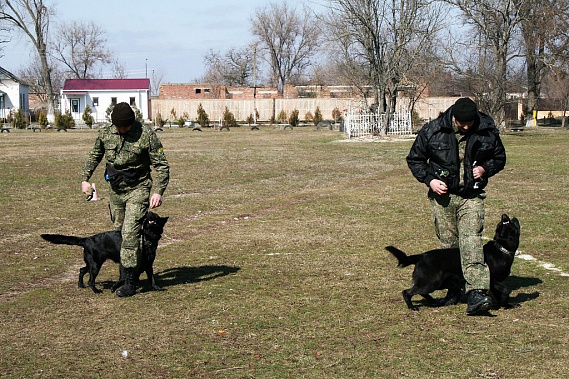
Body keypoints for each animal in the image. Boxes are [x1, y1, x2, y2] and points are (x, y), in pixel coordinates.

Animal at [386, 214, 520, 312]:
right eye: (505, 223)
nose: (504, 215)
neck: (501, 248)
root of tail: (421, 256)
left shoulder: (492, 283)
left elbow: (500, 294)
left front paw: (506, 305)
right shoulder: (491, 279)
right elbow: (505, 290)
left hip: (437, 282)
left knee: (421, 292)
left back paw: (432, 300)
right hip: (431, 282)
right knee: (407, 292)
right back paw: (412, 307)